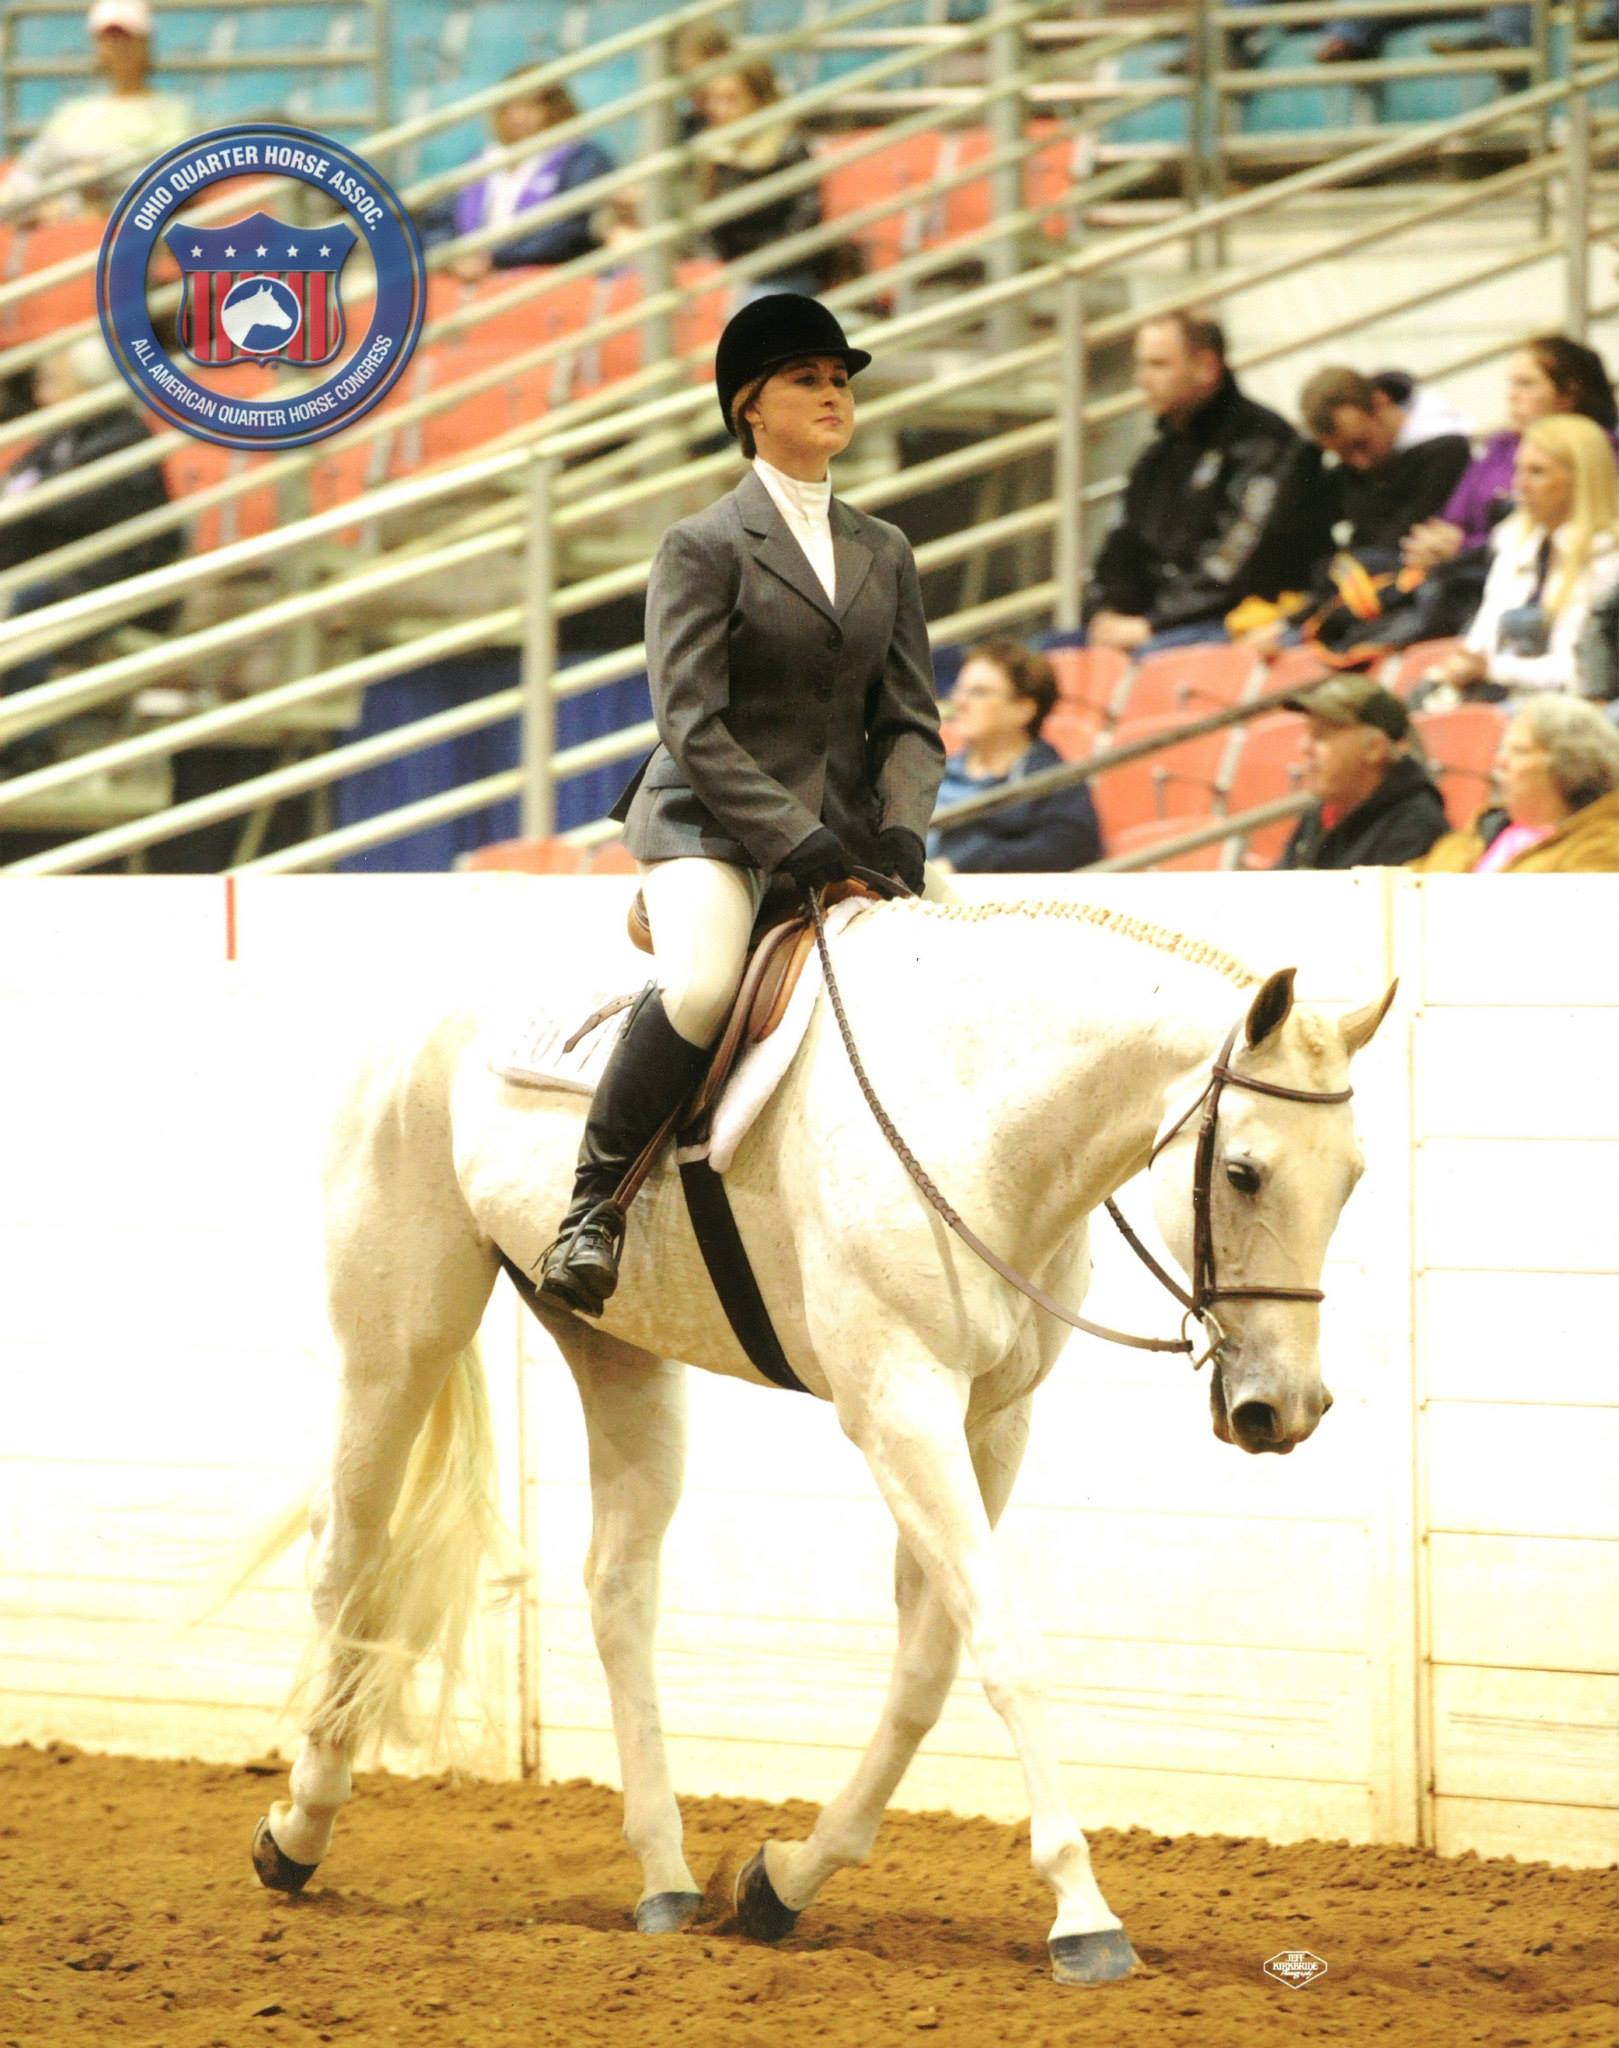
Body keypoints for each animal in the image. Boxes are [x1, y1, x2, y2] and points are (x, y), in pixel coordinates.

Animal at [247, 893, 1396, 1986]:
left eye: (1350, 1177)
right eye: (1242, 1171)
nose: (1282, 1408)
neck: (977, 1116)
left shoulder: (988, 1419)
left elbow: (928, 1664)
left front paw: (782, 1881)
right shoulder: (899, 1406)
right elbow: (1005, 1647)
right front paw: (1083, 1914)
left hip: (617, 1353)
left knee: (617, 1589)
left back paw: (666, 1878)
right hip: (399, 1336)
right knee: (347, 1549)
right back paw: (297, 1830)